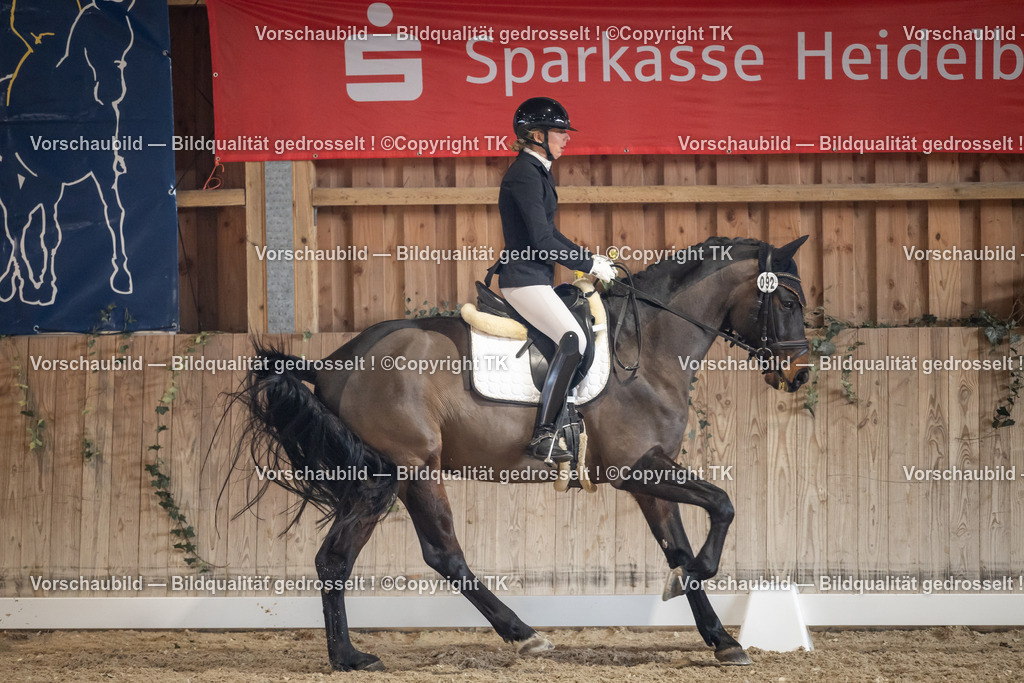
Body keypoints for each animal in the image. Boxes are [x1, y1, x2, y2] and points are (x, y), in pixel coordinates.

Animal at [231, 235, 812, 672]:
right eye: (787, 302)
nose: (800, 373)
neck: (647, 349)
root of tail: (335, 361)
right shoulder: (633, 468)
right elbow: (722, 504)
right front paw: (704, 582)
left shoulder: (651, 473)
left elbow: (680, 548)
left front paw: (722, 638)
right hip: (408, 471)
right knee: (432, 554)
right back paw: (509, 634)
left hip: (392, 477)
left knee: (346, 558)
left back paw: (351, 655)